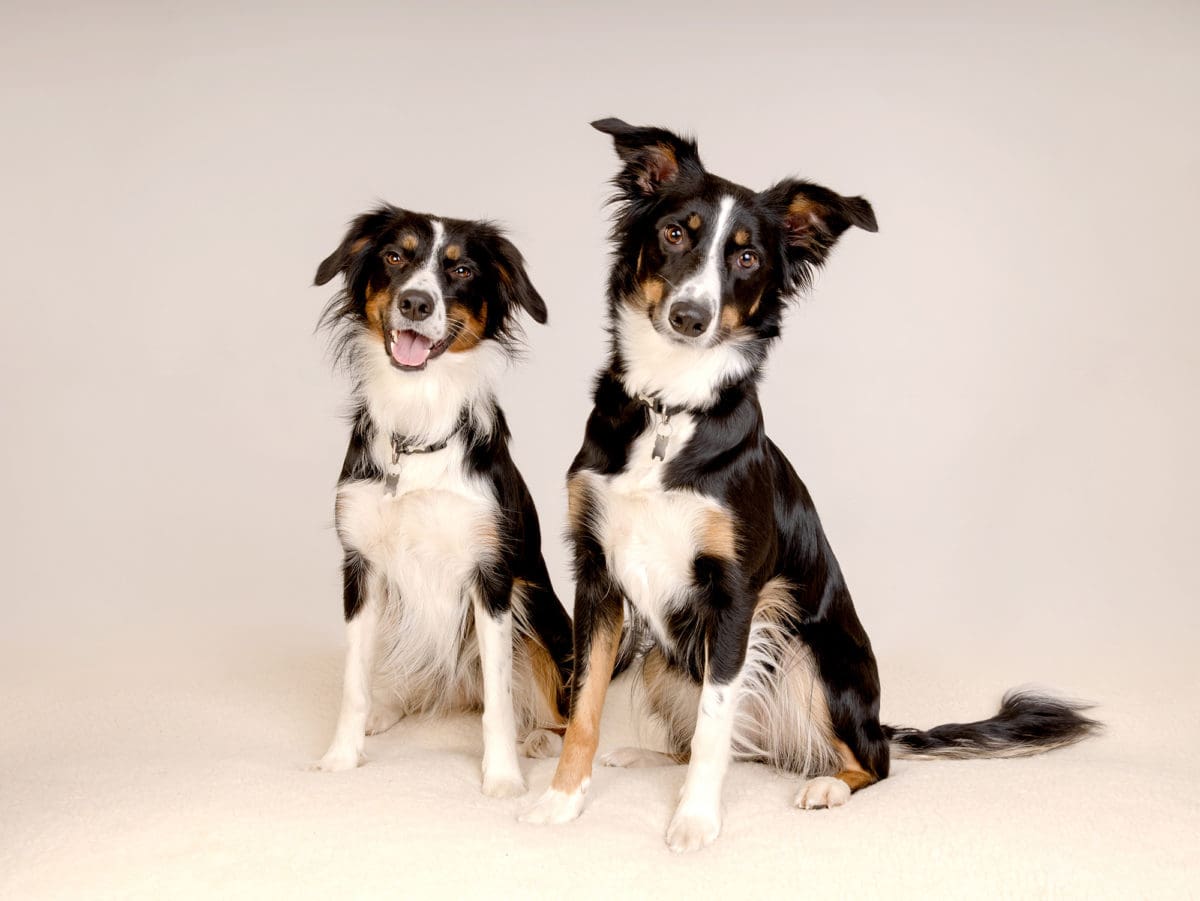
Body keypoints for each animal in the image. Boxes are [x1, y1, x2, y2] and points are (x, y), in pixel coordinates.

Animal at [309, 202, 571, 796]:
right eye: (394, 256)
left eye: (462, 270)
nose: (415, 302)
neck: (418, 426)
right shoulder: (361, 565)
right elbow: (354, 681)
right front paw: (341, 757)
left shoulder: (491, 575)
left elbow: (499, 697)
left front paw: (503, 777)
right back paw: (390, 707)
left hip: (536, 606)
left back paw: (541, 739)